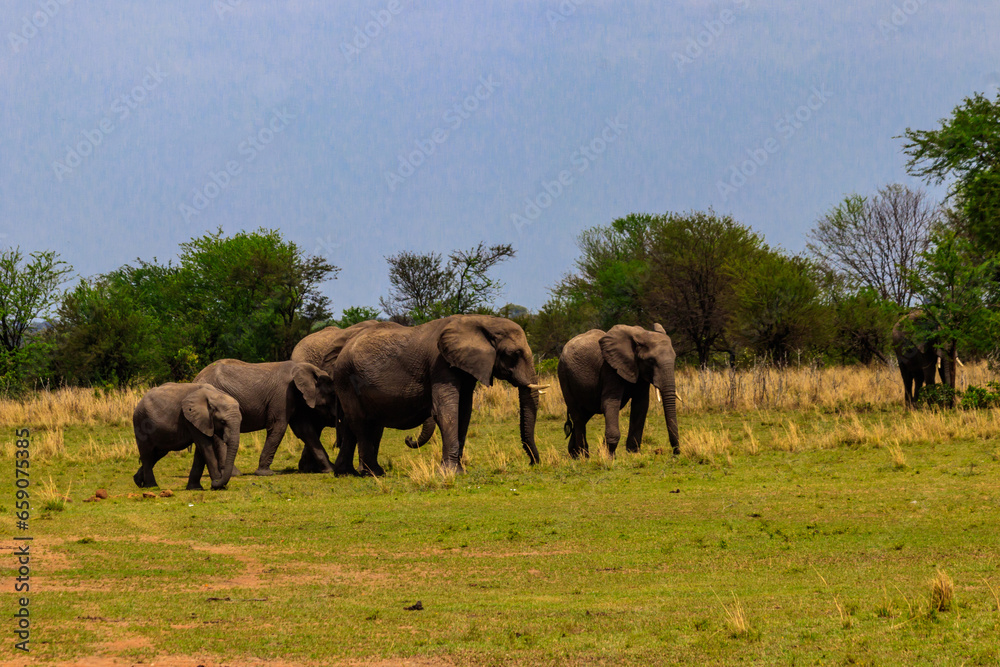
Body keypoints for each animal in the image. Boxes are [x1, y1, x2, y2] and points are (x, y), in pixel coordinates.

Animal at [193, 360, 338, 474]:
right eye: (332, 394)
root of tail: (196, 378)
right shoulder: (283, 395)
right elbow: (278, 427)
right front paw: (265, 473)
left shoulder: (295, 398)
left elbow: (305, 430)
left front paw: (330, 470)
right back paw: (235, 474)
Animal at [332, 316, 544, 478]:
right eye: (513, 354)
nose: (533, 463)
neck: (482, 320)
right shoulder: (439, 364)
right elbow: (446, 412)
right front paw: (450, 473)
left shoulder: (465, 368)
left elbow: (464, 412)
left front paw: (459, 471)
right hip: (346, 378)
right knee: (361, 423)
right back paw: (373, 473)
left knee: (357, 424)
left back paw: (346, 473)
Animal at [556, 324, 680, 460]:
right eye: (651, 361)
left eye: (675, 358)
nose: (675, 453)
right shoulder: (610, 369)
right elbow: (610, 402)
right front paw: (608, 456)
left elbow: (641, 405)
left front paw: (633, 453)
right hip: (563, 376)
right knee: (578, 416)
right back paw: (582, 456)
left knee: (584, 415)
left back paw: (574, 454)